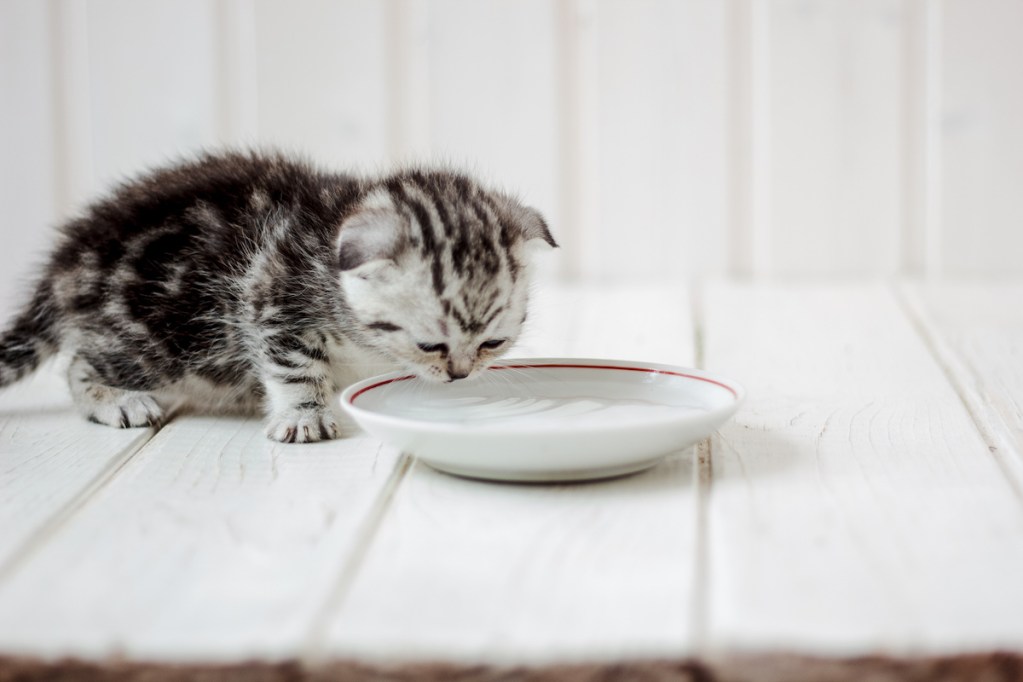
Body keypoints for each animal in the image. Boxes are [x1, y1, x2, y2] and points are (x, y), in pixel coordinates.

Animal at [0, 150, 556, 443]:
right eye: (431, 346)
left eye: (492, 343)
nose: (460, 375)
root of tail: (65, 264)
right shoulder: (270, 296)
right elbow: (296, 366)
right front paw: (306, 415)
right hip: (157, 342)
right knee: (80, 366)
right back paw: (120, 401)